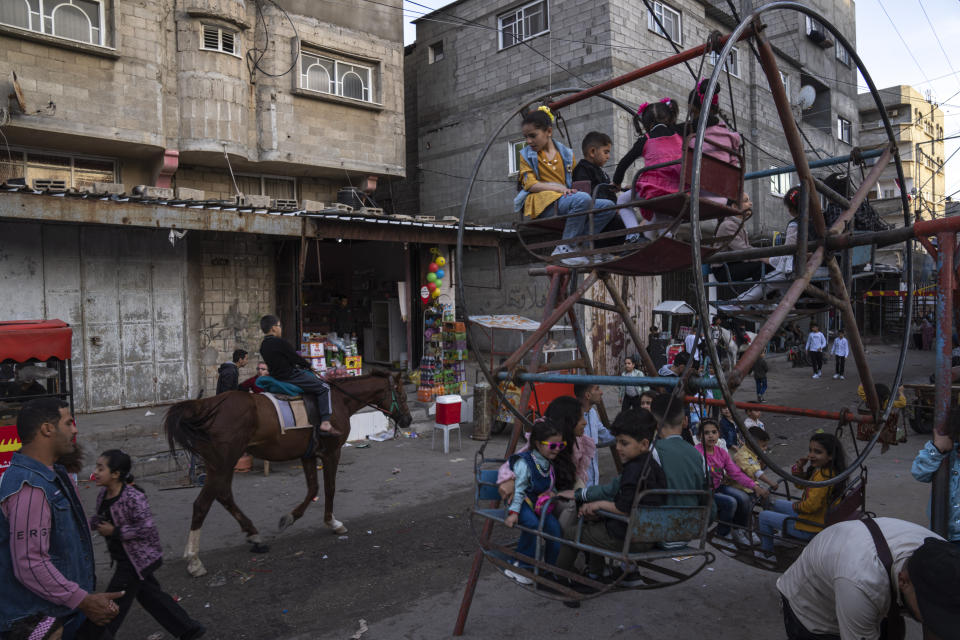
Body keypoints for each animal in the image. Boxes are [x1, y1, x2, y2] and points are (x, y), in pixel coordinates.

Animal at [165, 368, 412, 576]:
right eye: (401, 394)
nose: (408, 419)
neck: (339, 400)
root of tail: (205, 405)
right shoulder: (332, 452)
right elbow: (330, 488)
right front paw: (332, 522)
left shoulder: (309, 454)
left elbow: (313, 488)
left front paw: (290, 517)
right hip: (223, 462)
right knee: (202, 504)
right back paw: (194, 559)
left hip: (221, 464)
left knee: (224, 495)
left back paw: (252, 533)